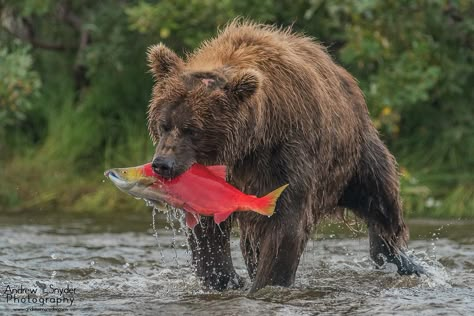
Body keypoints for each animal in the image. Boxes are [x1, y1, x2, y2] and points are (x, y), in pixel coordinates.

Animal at [145, 20, 422, 294]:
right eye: (164, 124)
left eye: (193, 130)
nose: (163, 165)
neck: (245, 146)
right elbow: (207, 229)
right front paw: (226, 279)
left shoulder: (285, 154)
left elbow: (285, 223)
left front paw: (265, 282)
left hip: (353, 156)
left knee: (381, 199)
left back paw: (401, 259)